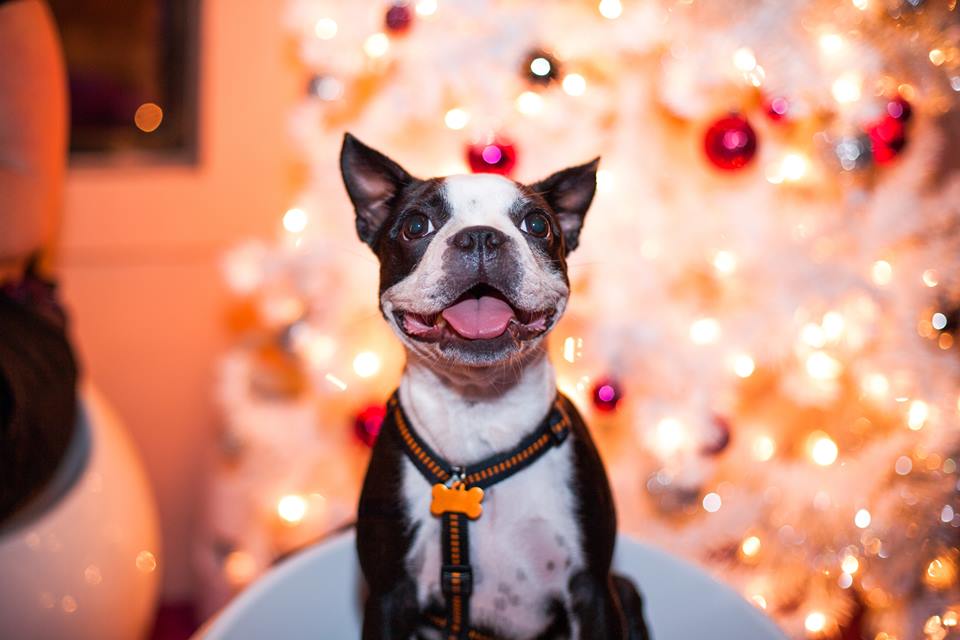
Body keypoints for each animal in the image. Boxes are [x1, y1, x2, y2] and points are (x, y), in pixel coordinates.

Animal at [342, 132, 648, 636]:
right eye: (416, 225)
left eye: (537, 225)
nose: (482, 236)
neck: (479, 407)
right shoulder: (388, 596)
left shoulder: (593, 589)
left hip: (624, 590)